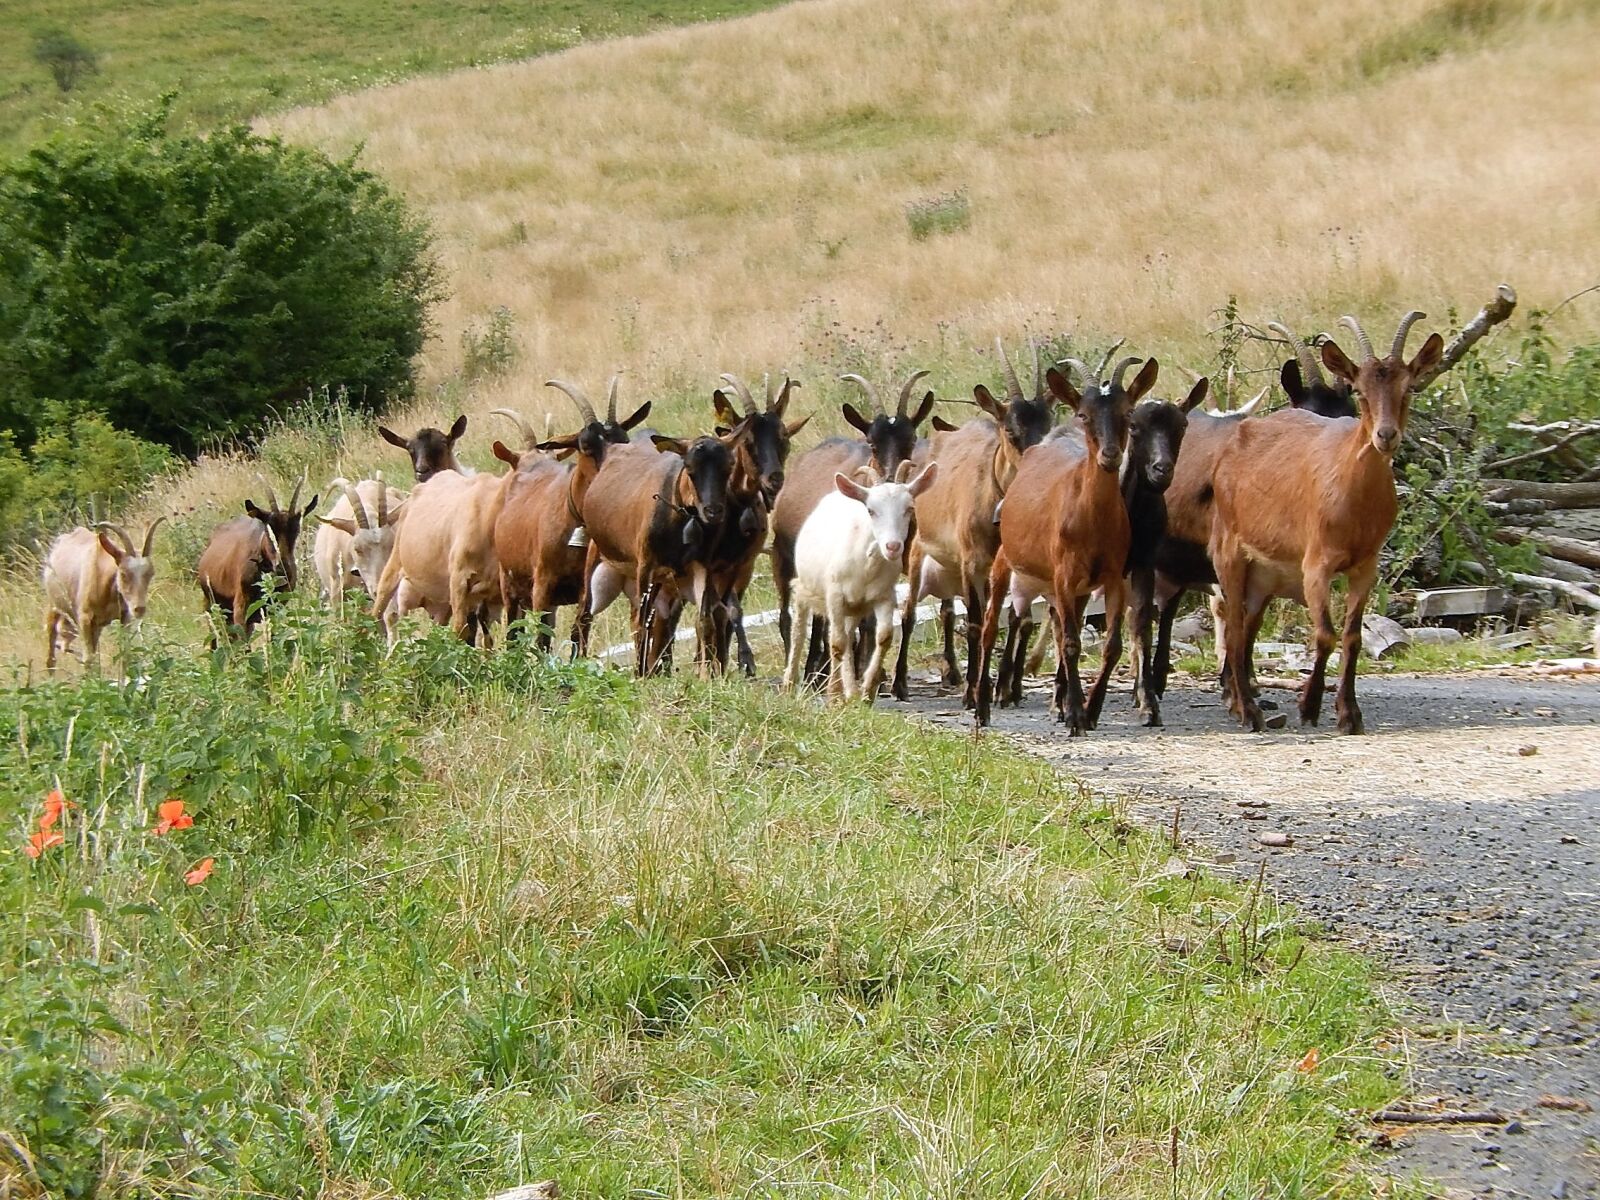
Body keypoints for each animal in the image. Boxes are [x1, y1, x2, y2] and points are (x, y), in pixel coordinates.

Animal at [42, 521, 164, 672]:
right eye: (123, 573)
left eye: (150, 573)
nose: (139, 609)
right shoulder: (85, 619)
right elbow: (88, 660)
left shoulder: (124, 617)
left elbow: (124, 655)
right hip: (55, 607)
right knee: (51, 657)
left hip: (96, 626)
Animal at [777, 464, 934, 704]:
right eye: (871, 510)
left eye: (909, 508)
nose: (892, 546)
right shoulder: (835, 595)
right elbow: (836, 643)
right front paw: (836, 695)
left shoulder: (884, 596)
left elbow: (883, 637)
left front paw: (867, 691)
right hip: (805, 586)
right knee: (801, 630)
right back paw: (790, 682)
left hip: (853, 606)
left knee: (848, 636)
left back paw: (848, 690)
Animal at [966, 356, 1158, 732]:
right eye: (1083, 414)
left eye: (1128, 412)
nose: (1110, 455)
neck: (1091, 520)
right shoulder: (1064, 576)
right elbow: (1070, 643)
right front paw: (1077, 718)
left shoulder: (1112, 577)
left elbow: (1111, 646)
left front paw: (1090, 709)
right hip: (1005, 561)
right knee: (990, 626)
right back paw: (981, 708)